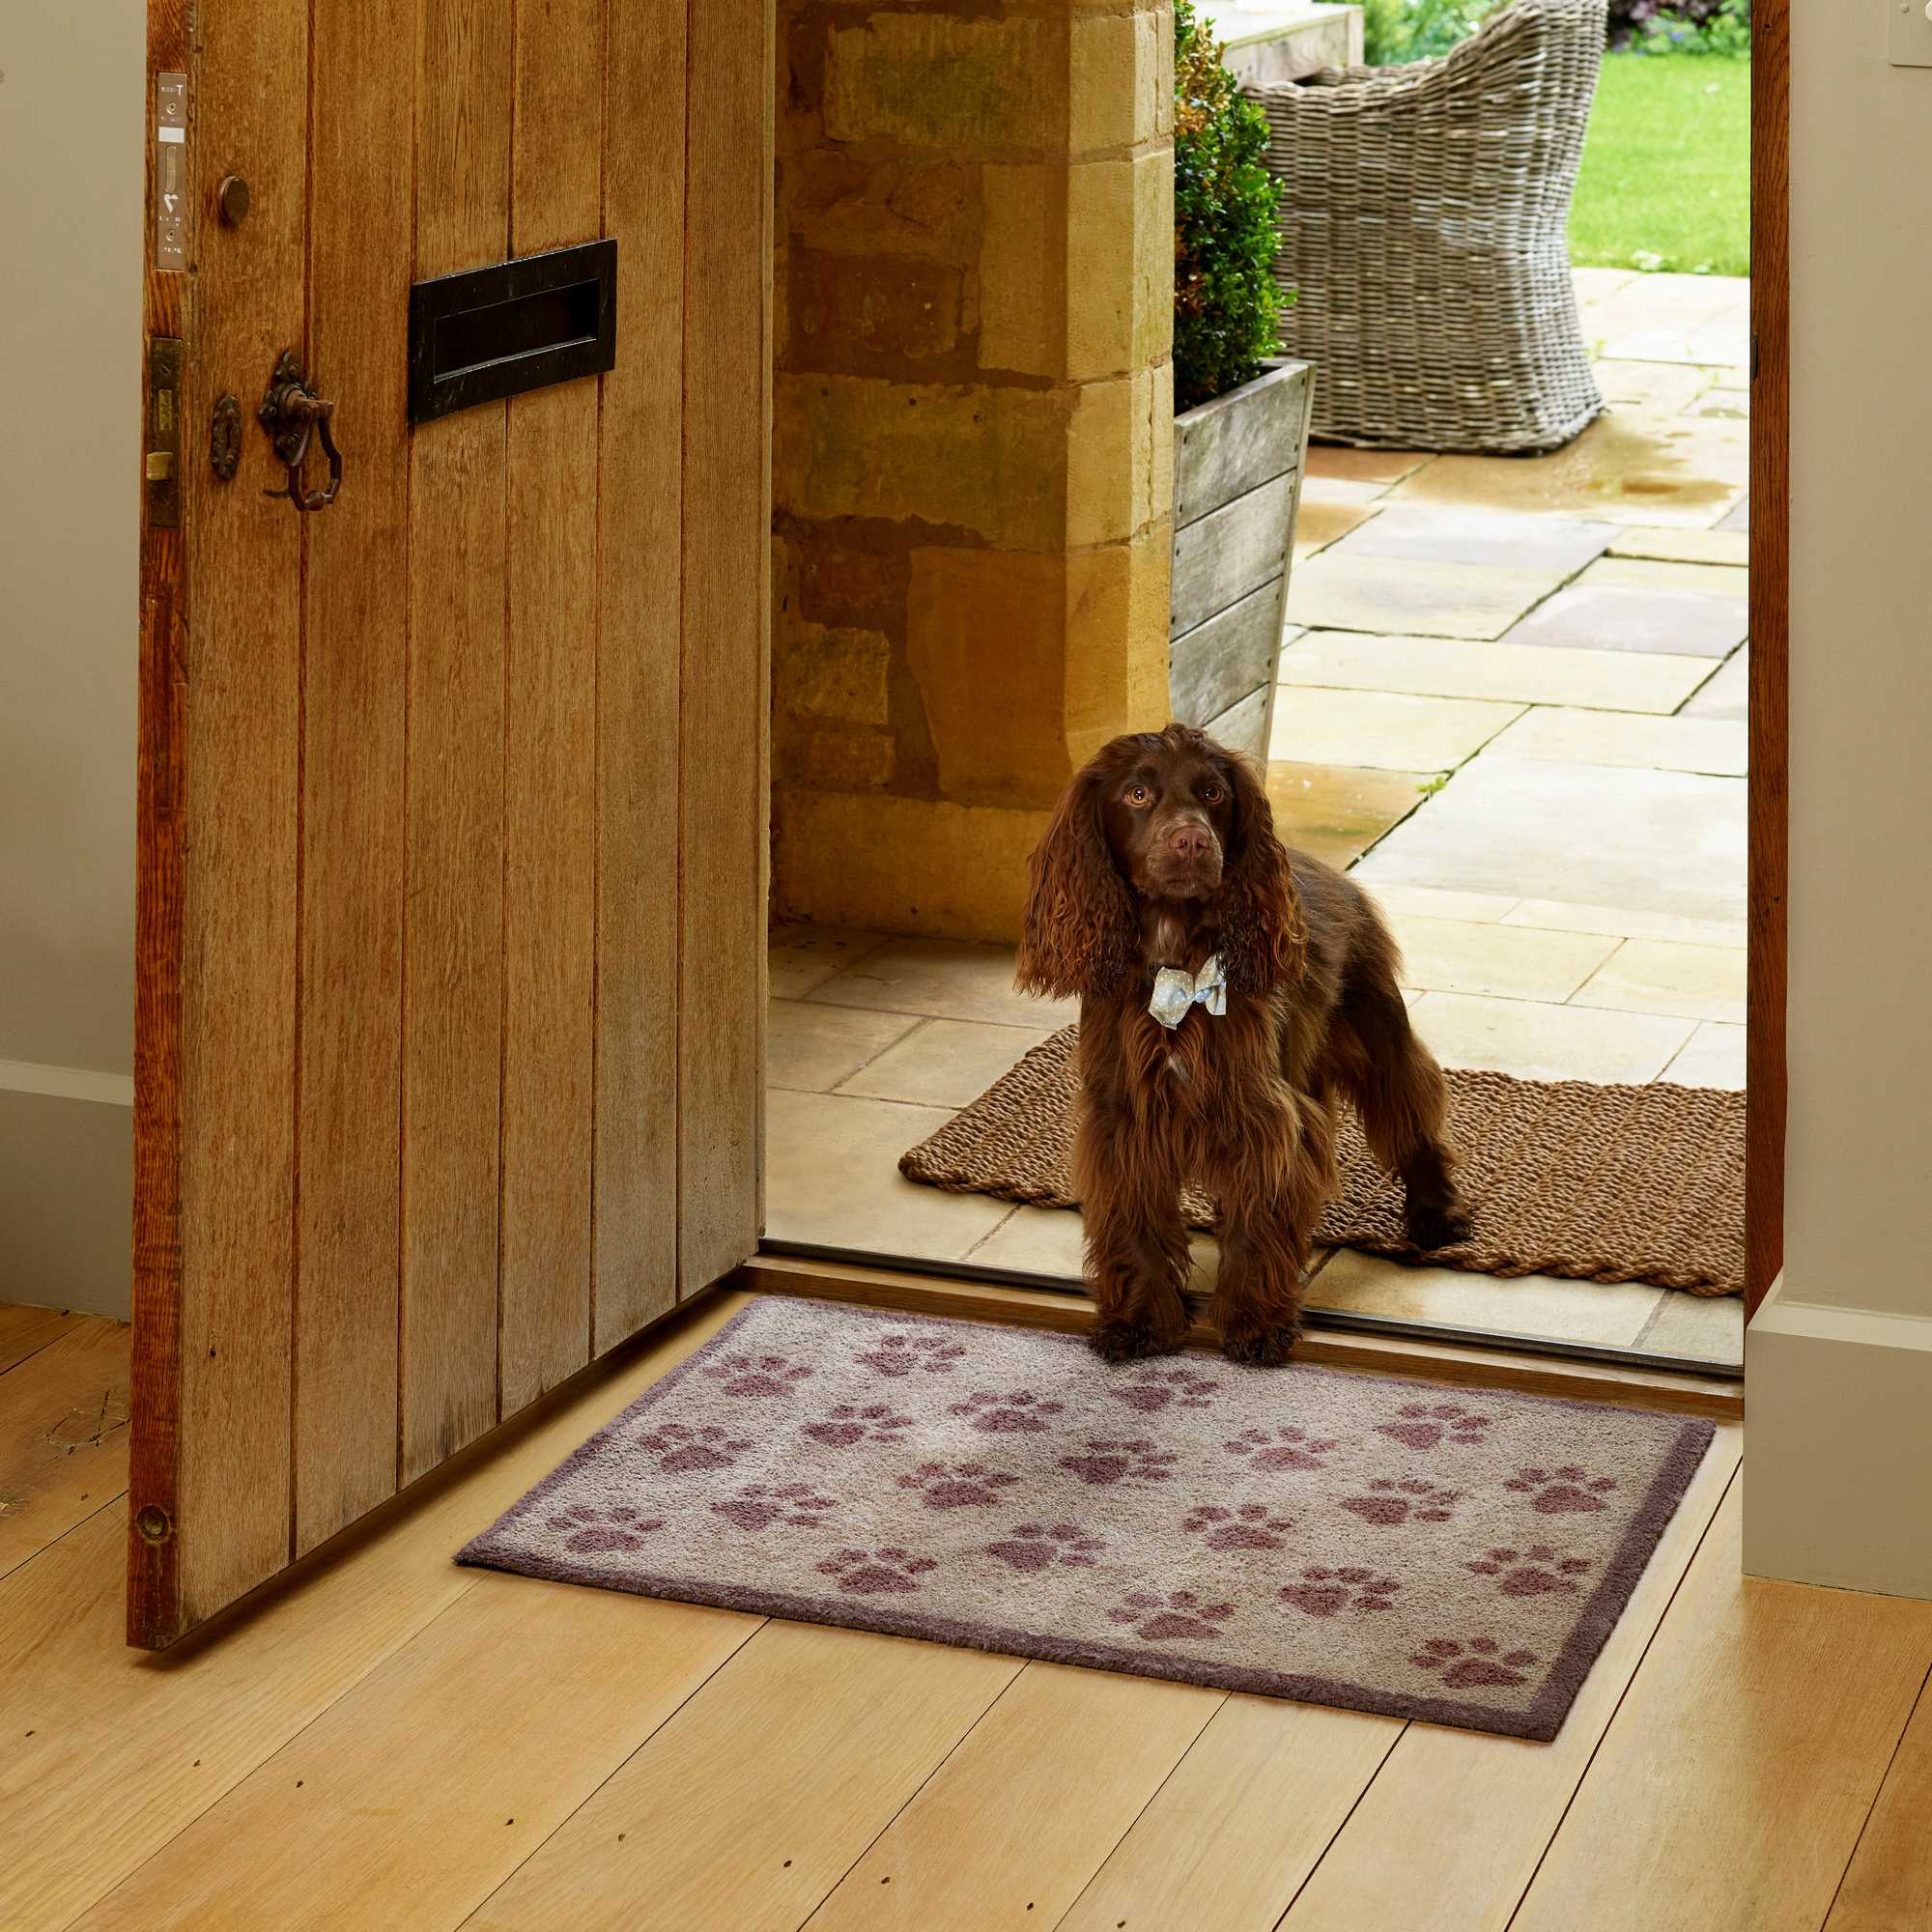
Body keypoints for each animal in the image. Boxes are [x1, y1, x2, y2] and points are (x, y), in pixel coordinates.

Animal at [1012, 719, 1461, 1368]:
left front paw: (1254, 1322)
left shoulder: (1261, 1116)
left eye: (1213, 793)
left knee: (1412, 1113)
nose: (1193, 842)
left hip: (1377, 1031)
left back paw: (1436, 1214)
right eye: (1137, 795)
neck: (1177, 959)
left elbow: (1258, 1223)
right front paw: (1139, 1321)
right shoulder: (1125, 1121)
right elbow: (1135, 1226)